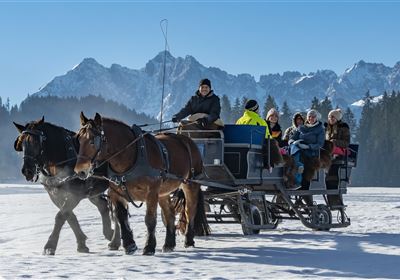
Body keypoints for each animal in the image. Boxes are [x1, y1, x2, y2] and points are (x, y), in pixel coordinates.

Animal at [74, 112, 209, 255]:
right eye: (79, 140)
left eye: (93, 140)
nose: (80, 171)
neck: (132, 155)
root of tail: (188, 141)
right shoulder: (116, 192)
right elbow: (121, 217)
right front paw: (129, 245)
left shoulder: (152, 192)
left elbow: (150, 219)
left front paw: (149, 247)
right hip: (163, 192)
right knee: (170, 214)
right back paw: (169, 244)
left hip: (190, 184)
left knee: (190, 211)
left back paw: (188, 240)